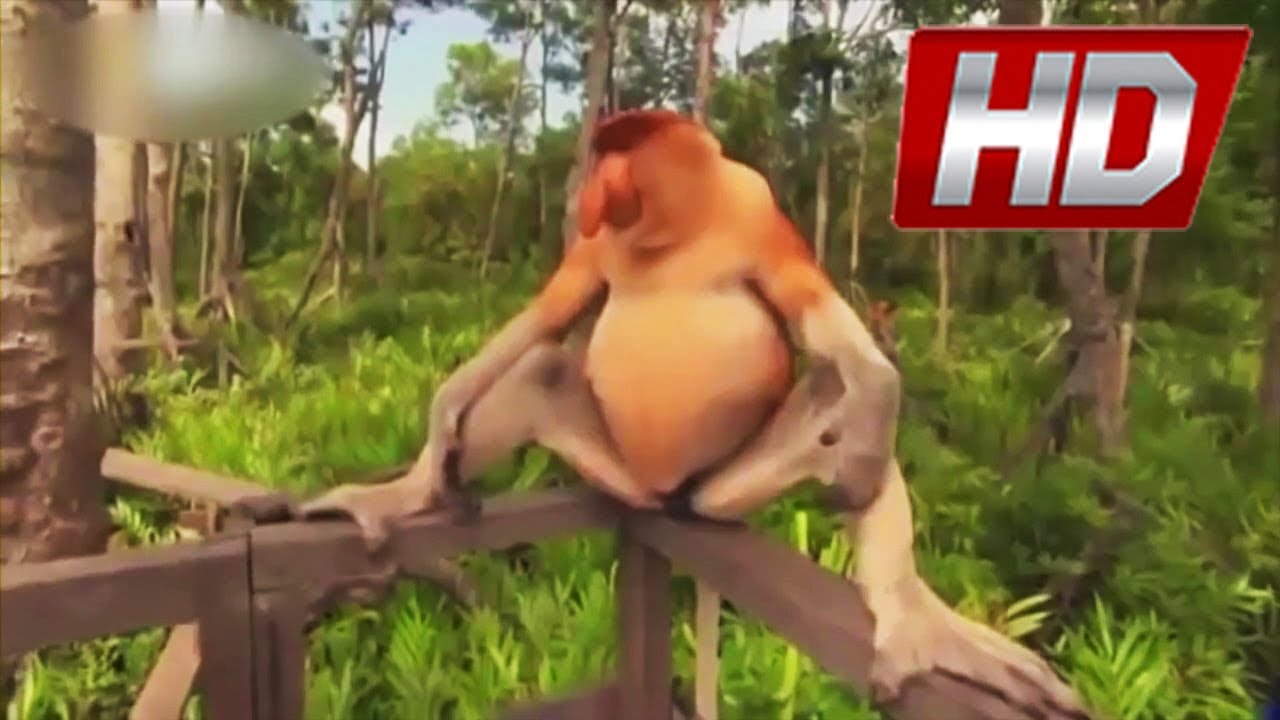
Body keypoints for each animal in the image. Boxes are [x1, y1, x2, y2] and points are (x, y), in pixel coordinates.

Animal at [300, 109, 1088, 710]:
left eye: (622, 152)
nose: (594, 186)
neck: (674, 230)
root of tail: (670, 494)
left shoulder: (758, 209)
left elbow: (836, 338)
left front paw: (863, 458)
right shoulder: (597, 245)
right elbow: (543, 320)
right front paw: (442, 424)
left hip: (726, 489)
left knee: (839, 395)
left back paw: (915, 622)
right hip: (621, 474)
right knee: (541, 372)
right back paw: (405, 496)